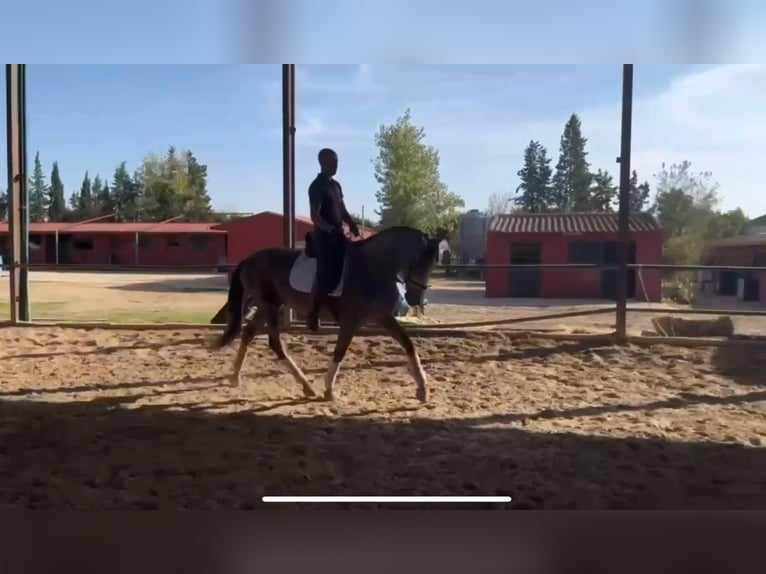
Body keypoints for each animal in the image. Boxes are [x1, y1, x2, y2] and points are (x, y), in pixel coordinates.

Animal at [210, 226, 450, 404]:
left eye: (433, 264)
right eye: (418, 261)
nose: (416, 300)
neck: (374, 267)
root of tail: (249, 260)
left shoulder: (383, 317)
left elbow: (409, 345)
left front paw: (423, 389)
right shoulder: (350, 321)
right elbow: (339, 352)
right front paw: (329, 390)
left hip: (271, 306)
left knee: (249, 333)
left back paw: (235, 377)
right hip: (269, 306)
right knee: (275, 344)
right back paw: (306, 385)